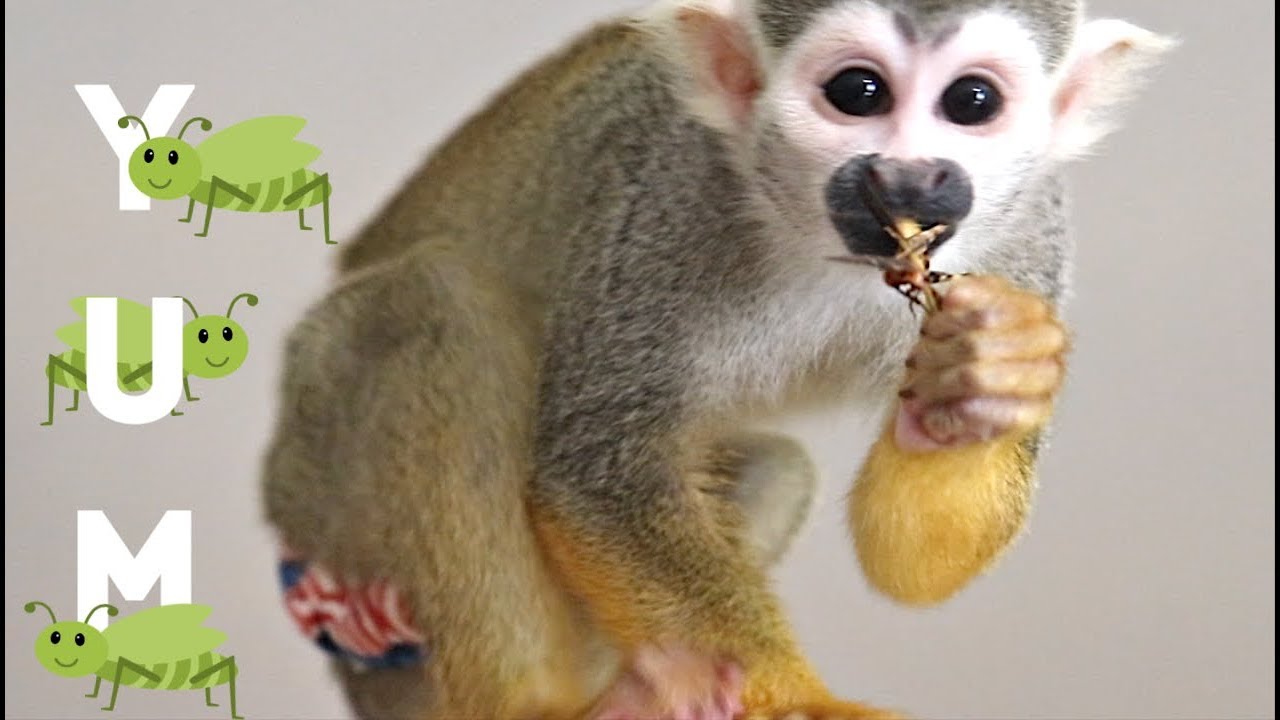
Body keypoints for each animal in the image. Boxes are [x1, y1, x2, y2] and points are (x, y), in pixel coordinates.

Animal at [261, 0, 1171, 717]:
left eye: (972, 101)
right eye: (859, 92)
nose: (909, 178)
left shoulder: (1030, 238)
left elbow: (916, 568)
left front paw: (986, 377)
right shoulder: (664, 197)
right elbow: (600, 473)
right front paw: (806, 706)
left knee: (777, 470)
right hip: (326, 515)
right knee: (425, 305)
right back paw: (532, 708)